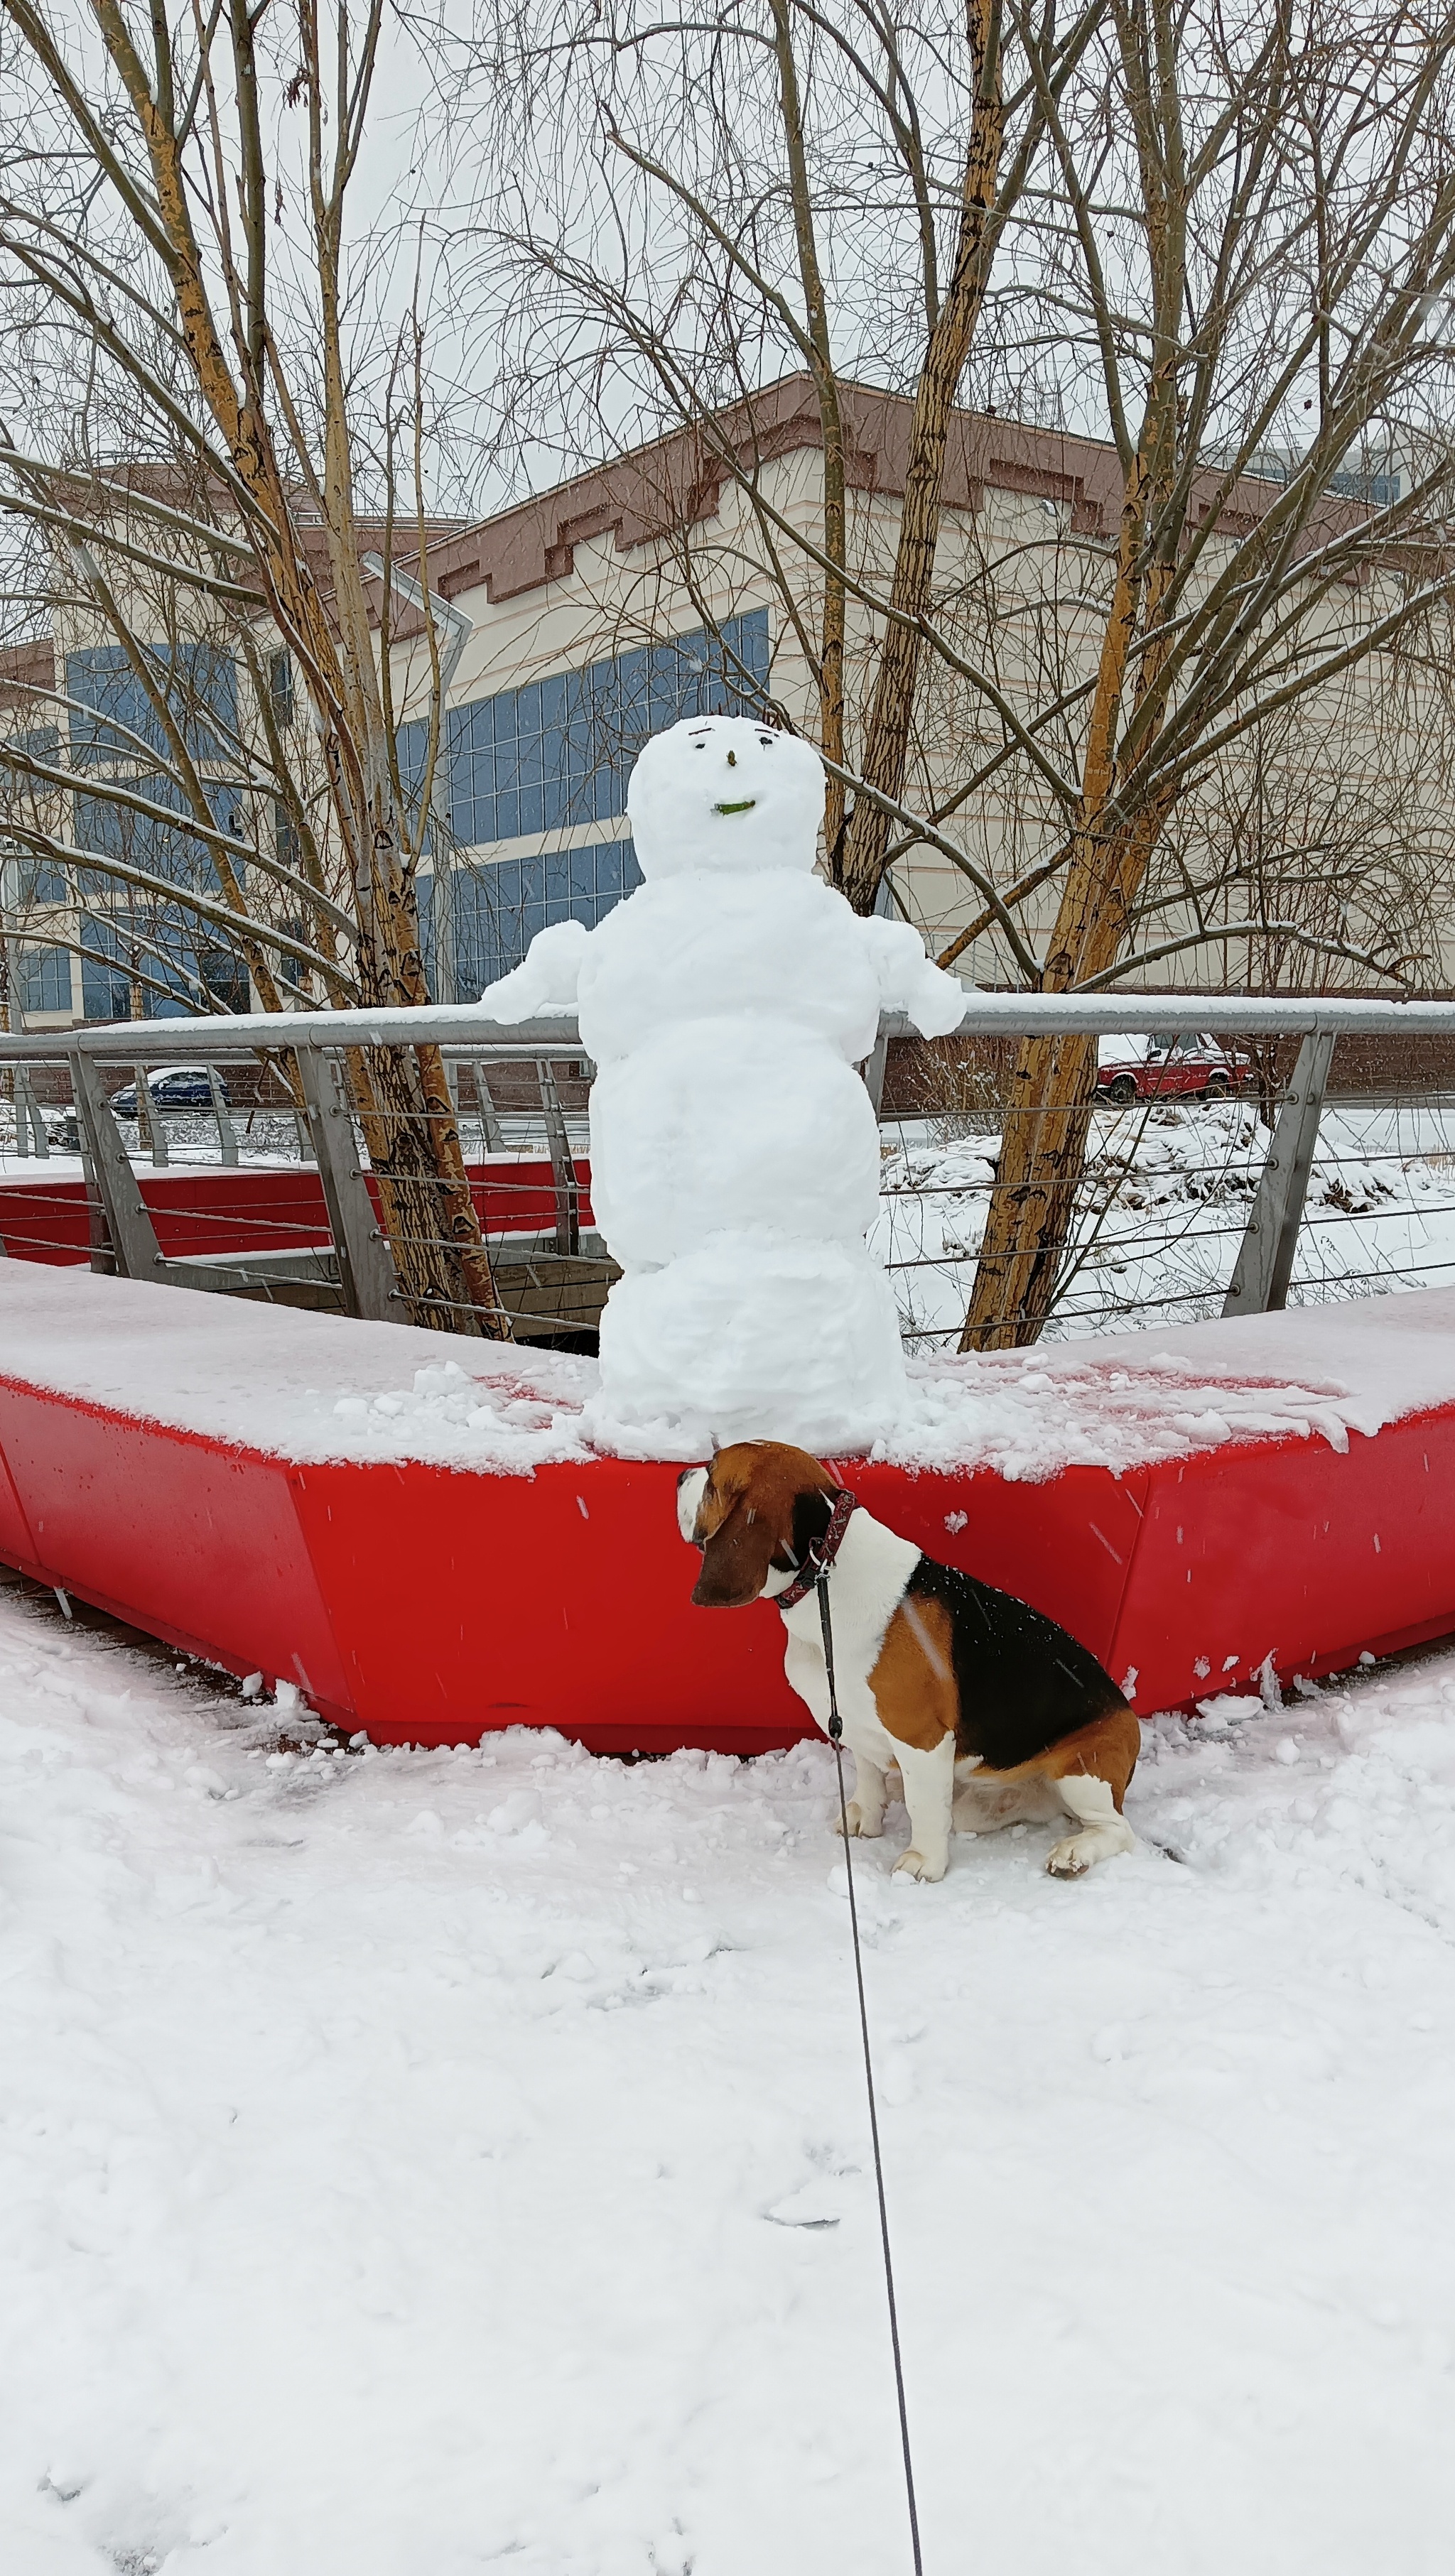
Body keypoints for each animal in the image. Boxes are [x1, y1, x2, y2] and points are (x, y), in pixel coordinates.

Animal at [674, 1442, 1138, 1885]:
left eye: (712, 1473)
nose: (679, 1476)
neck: (824, 1576)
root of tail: (1128, 1714)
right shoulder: (851, 1718)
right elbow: (866, 1773)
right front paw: (866, 1814)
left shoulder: (922, 1738)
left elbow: (924, 1807)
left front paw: (923, 1862)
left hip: (1081, 1774)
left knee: (1118, 1830)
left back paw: (1074, 1853)